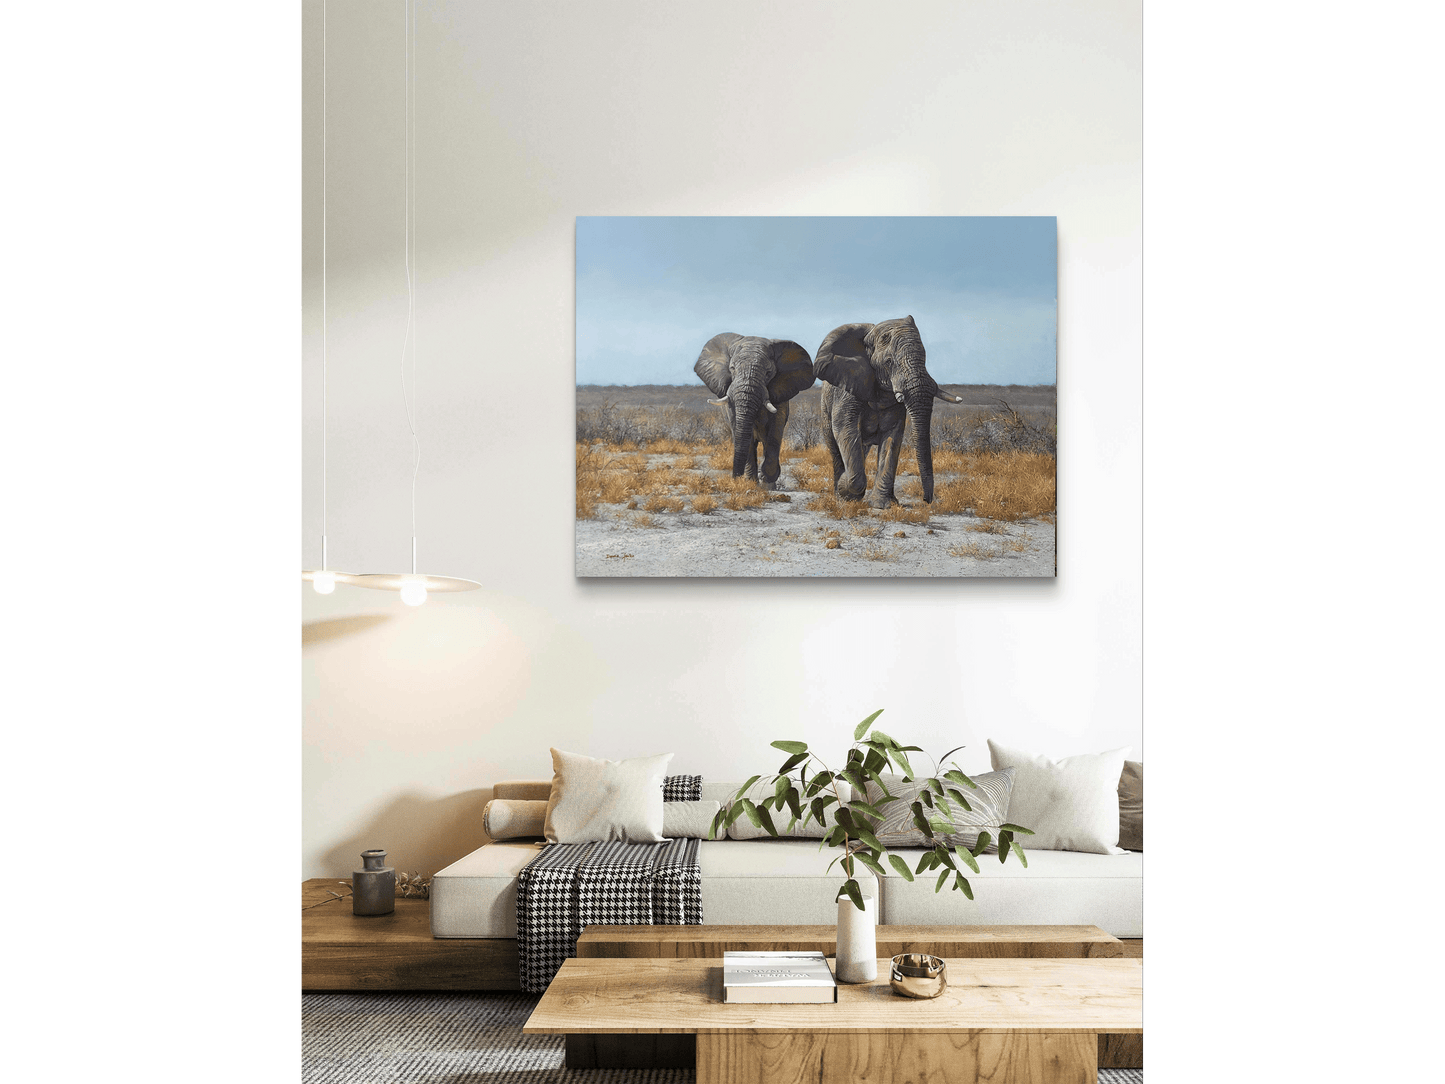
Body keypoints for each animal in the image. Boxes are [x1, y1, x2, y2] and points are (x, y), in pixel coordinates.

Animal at [693, 333, 816, 488]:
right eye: (732, 368)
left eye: (768, 373)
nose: (735, 479)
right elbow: (743, 434)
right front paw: (751, 482)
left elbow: (774, 432)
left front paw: (767, 482)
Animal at [813, 316, 965, 507]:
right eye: (889, 362)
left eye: (924, 358)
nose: (926, 500)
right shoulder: (847, 389)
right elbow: (845, 427)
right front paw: (845, 489)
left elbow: (892, 437)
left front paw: (882, 505)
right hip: (824, 409)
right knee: (836, 448)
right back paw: (841, 495)